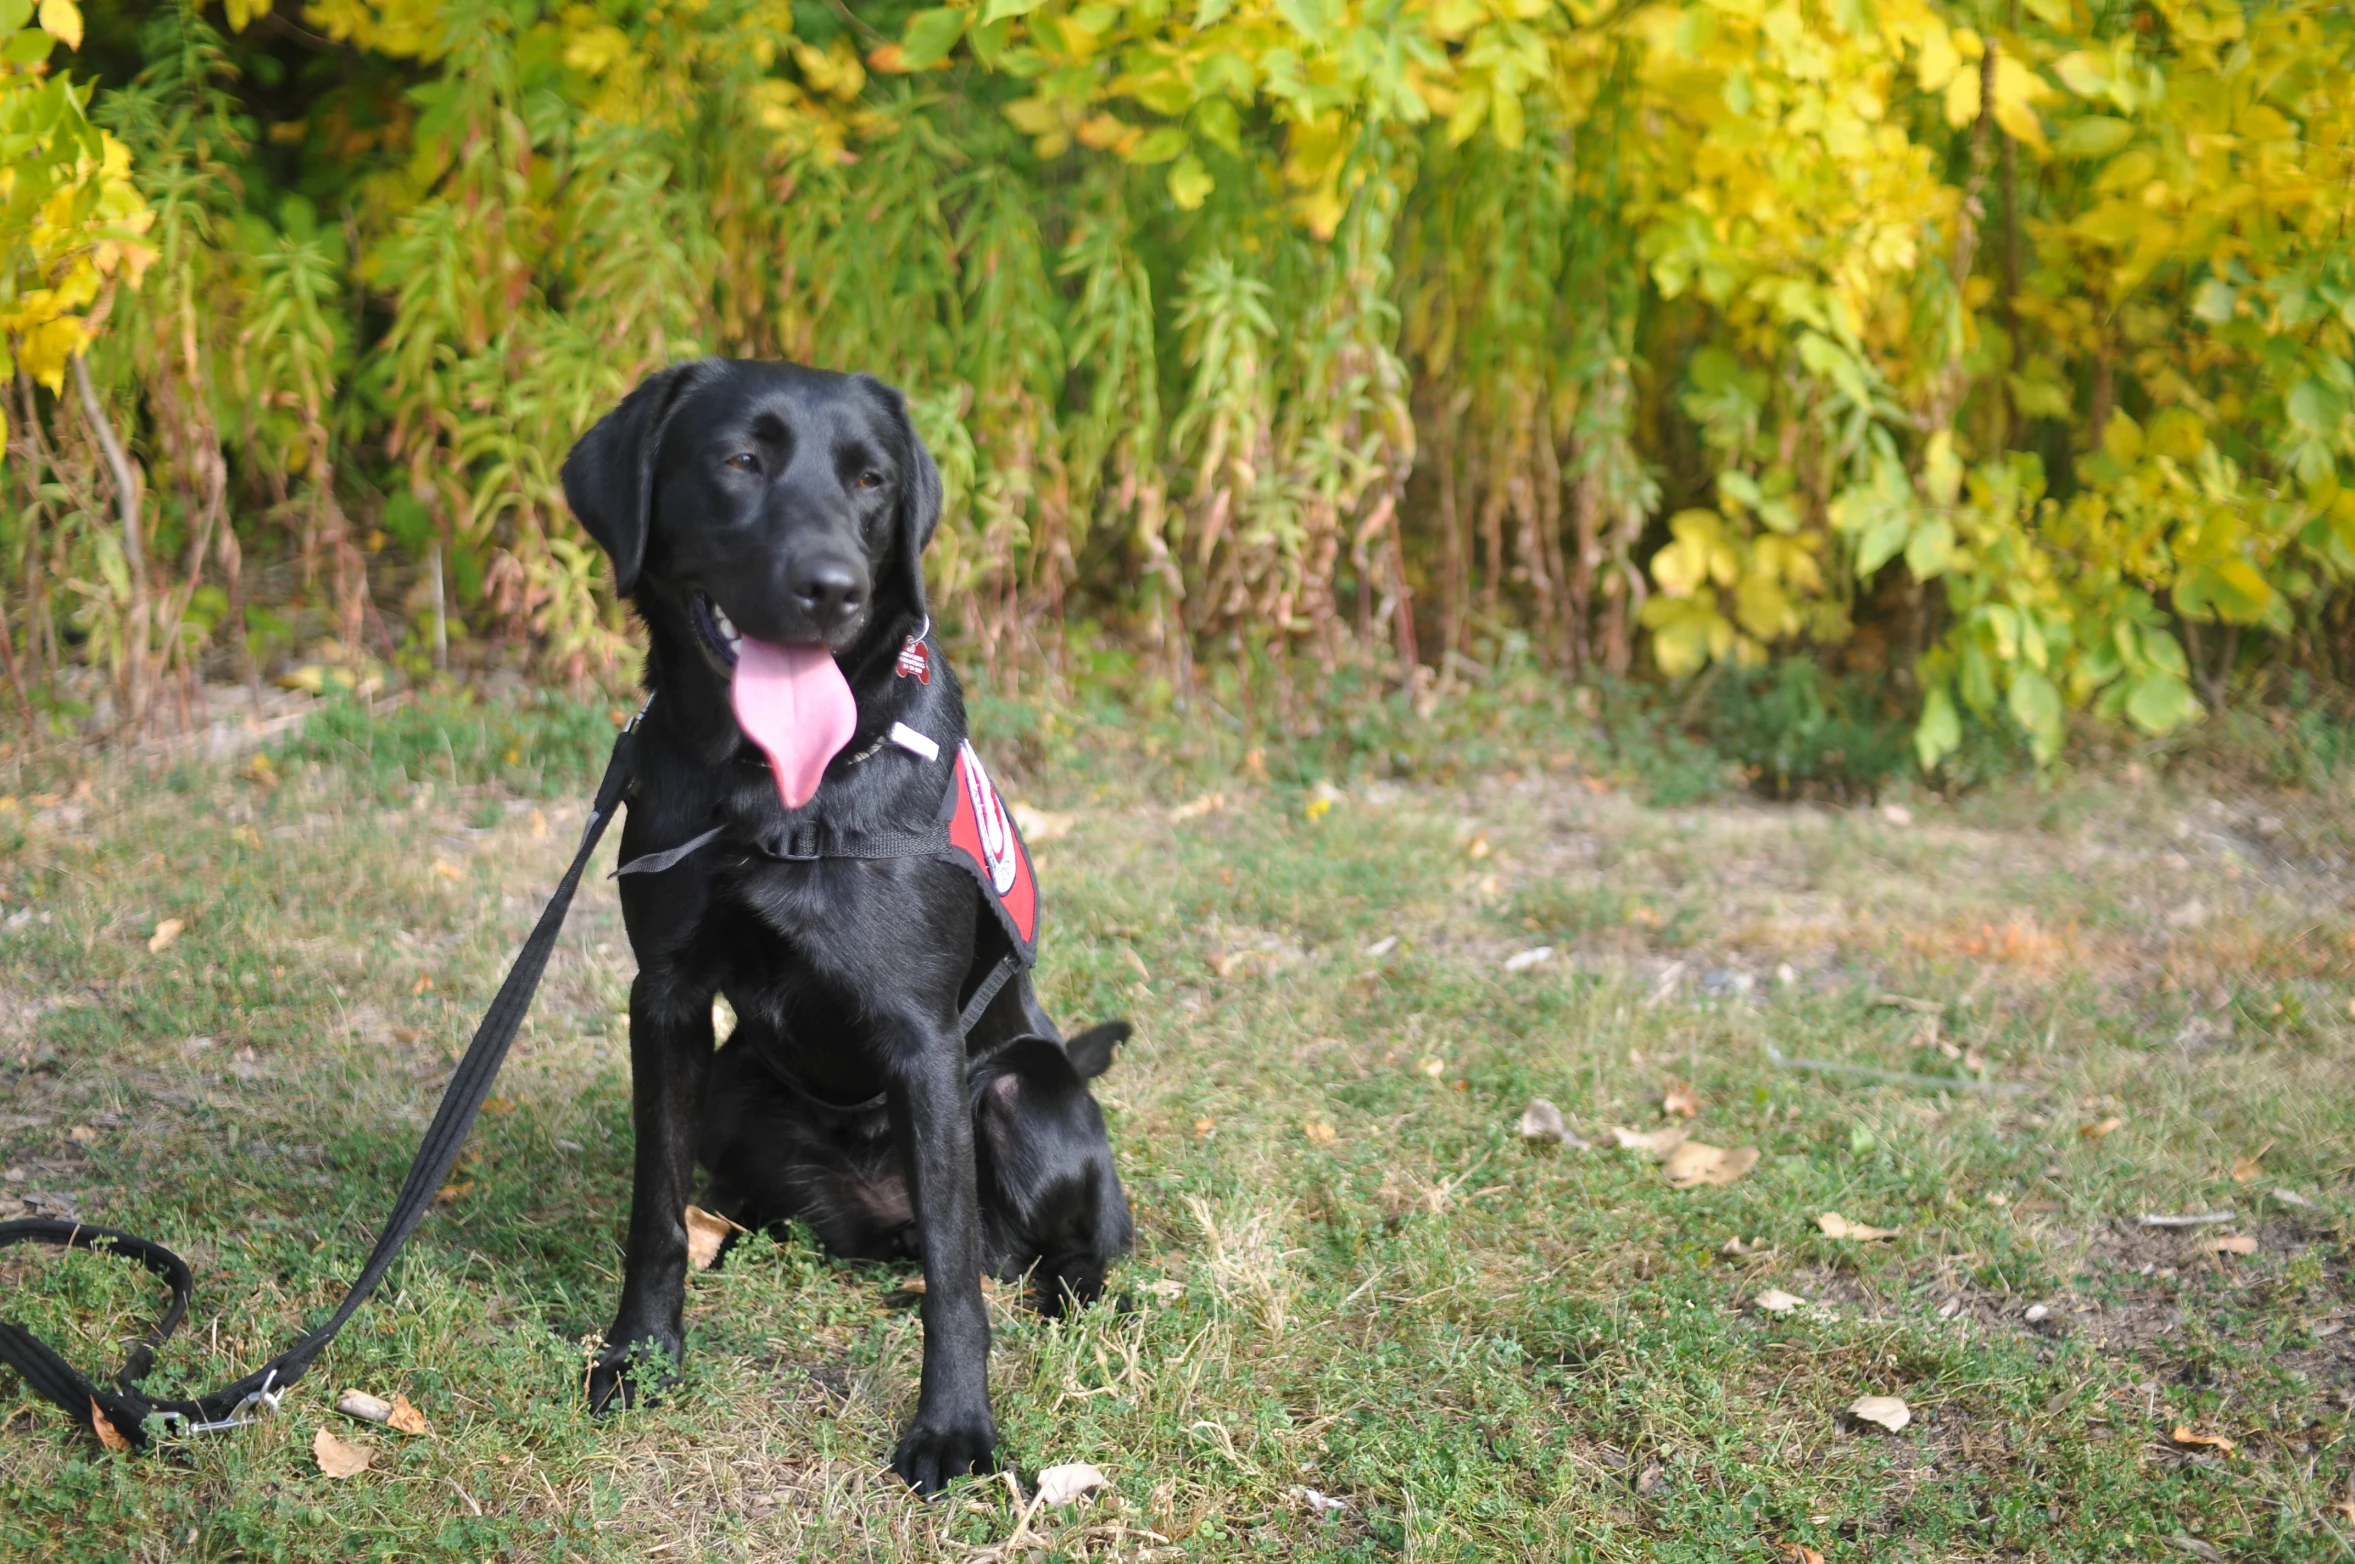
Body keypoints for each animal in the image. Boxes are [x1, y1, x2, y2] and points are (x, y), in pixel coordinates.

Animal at [560, 358, 1130, 1488]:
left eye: (872, 482)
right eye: (740, 459)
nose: (834, 588)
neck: (772, 791)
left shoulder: (920, 1037)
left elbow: (956, 1277)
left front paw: (953, 1428)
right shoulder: (667, 1000)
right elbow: (654, 1208)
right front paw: (641, 1355)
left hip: (1020, 1093)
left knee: (1046, 1244)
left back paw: (1066, 1289)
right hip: (737, 1089)